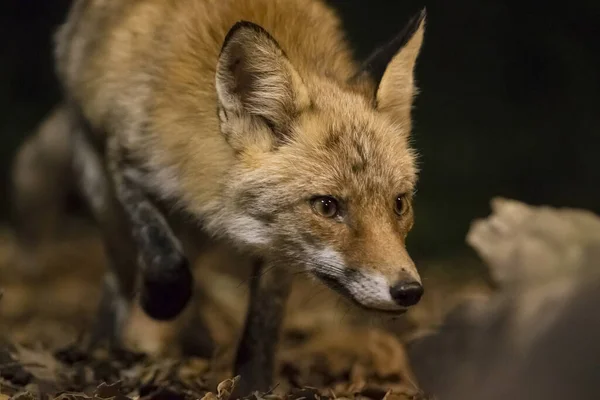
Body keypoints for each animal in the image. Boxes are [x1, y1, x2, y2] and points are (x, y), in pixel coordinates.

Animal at [12, 0, 426, 394]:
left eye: (399, 203)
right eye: (327, 206)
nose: (409, 291)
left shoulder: (278, 245)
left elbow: (264, 321)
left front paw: (254, 385)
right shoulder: (126, 161)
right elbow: (166, 261)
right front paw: (159, 303)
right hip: (96, 177)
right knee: (120, 271)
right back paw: (103, 348)